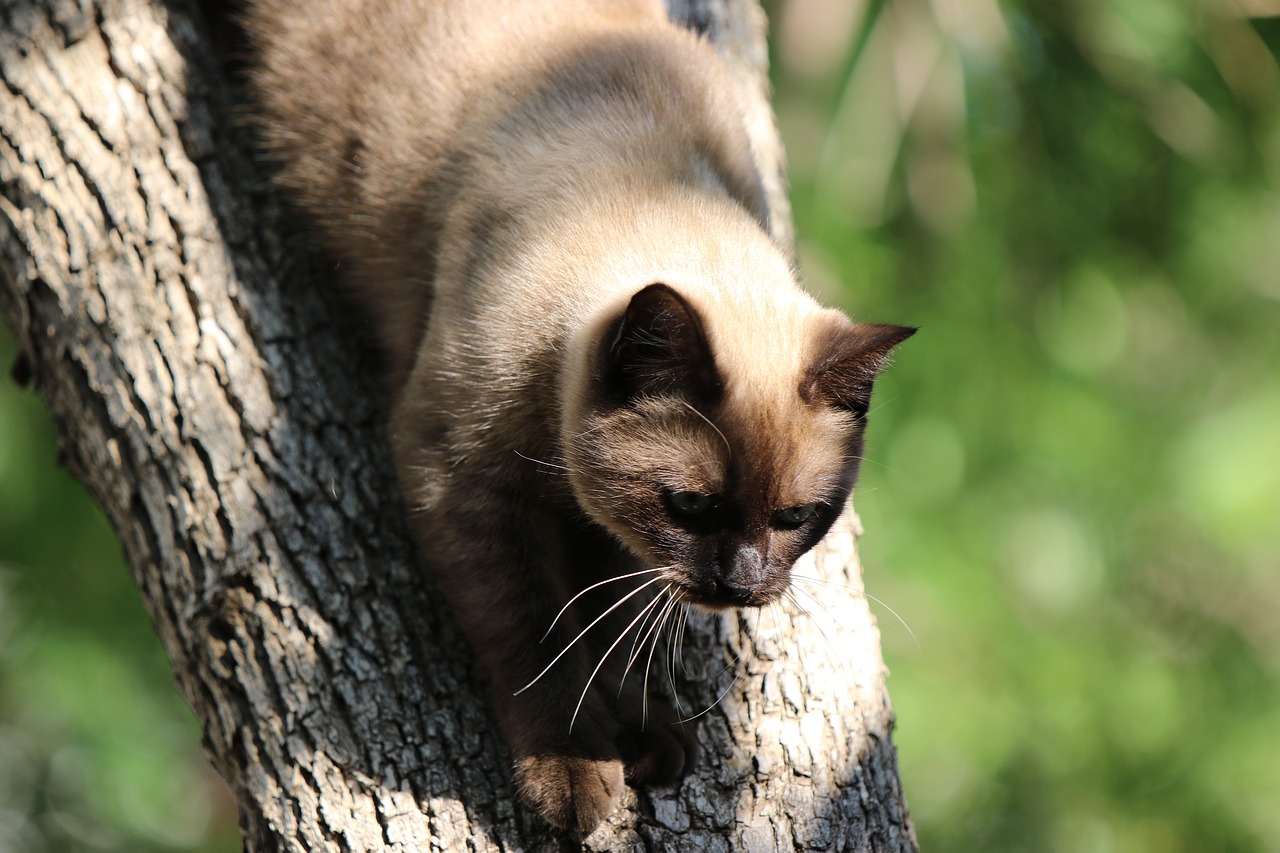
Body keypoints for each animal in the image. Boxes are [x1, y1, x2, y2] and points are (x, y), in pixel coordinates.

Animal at [247, 0, 911, 829]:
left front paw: (641, 730)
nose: (741, 585)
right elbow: (538, 638)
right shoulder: (462, 484)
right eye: (693, 506)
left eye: (796, 518)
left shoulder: (621, 533)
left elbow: (613, 626)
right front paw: (574, 768)